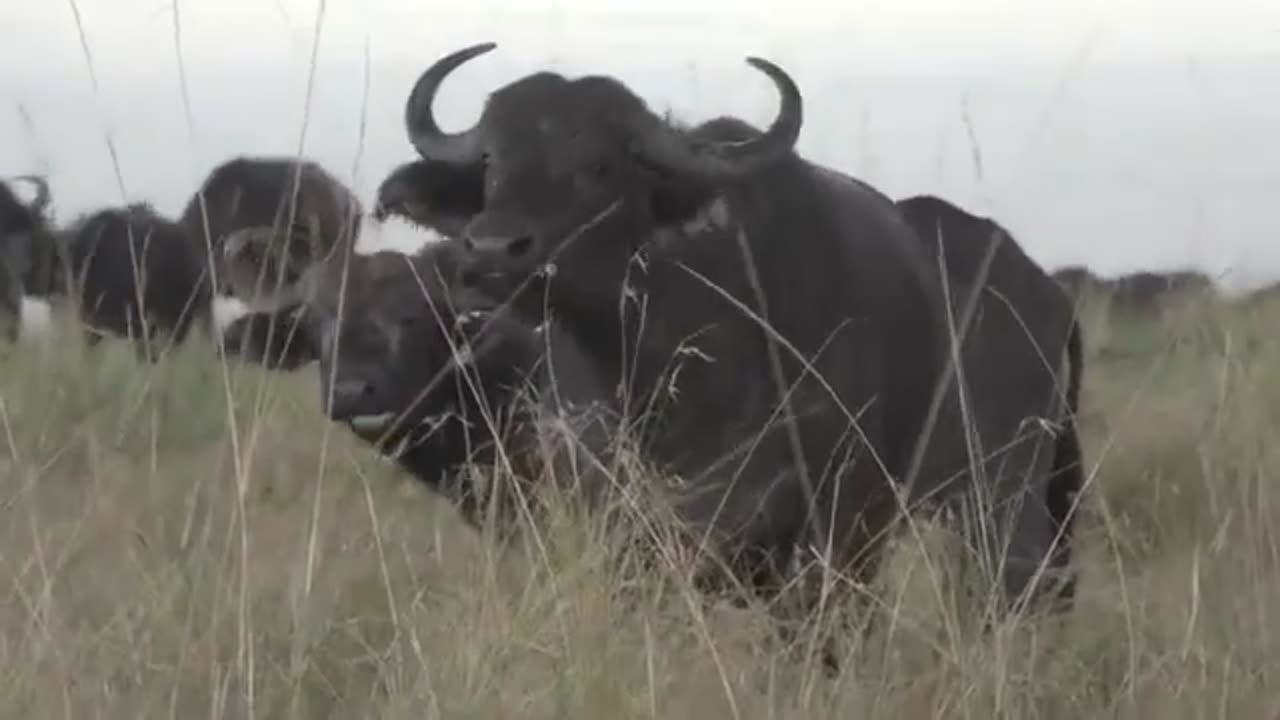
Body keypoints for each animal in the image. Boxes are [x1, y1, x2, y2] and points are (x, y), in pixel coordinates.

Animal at [385, 42, 1082, 669]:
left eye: (601, 166)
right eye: (491, 163)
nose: (490, 251)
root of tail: (1047, 292)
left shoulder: (833, 532)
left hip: (1003, 503)